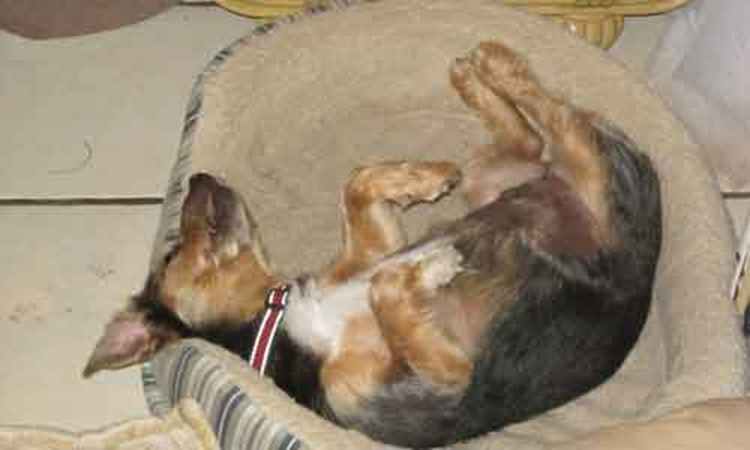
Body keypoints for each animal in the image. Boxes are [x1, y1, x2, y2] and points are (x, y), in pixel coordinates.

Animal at [83, 41, 662, 448]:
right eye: (172, 251)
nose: (199, 177)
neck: (284, 318)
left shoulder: (376, 246)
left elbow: (357, 183)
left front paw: (424, 179)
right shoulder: (444, 374)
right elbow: (388, 283)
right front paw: (432, 266)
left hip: (502, 180)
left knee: (537, 131)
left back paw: (475, 75)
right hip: (580, 179)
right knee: (557, 118)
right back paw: (493, 64)